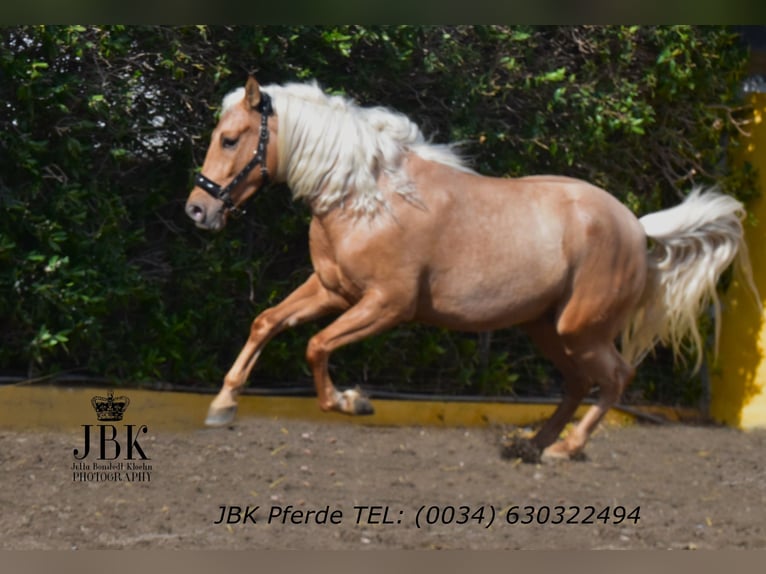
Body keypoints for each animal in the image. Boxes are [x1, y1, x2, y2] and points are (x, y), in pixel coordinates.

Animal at [185, 75, 758, 461]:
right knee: (578, 381)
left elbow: (316, 345)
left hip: (582, 329)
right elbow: (267, 322)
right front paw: (222, 405)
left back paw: (564, 448)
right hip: (547, 328)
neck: (366, 198)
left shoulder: (387, 304)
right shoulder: (332, 289)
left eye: (231, 138)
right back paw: (531, 444)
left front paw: (352, 402)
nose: (197, 209)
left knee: (616, 376)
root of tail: (636, 228)